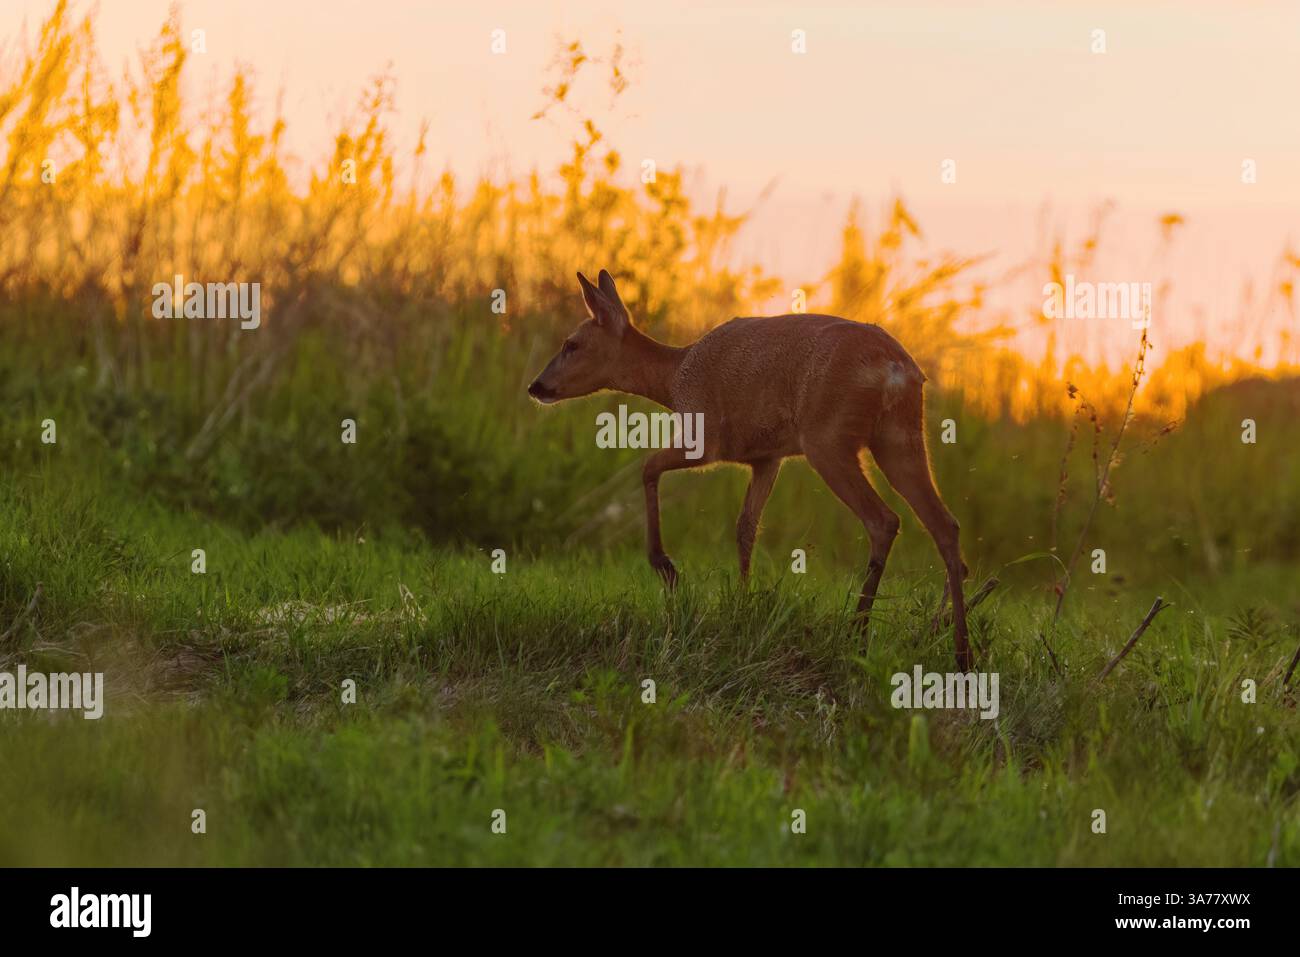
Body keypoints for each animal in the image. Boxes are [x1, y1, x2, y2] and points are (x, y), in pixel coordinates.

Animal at [528, 270, 973, 671]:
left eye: (571, 343)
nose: (536, 386)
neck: (675, 378)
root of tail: (897, 369)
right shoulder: (766, 458)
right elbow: (745, 527)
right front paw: (742, 606)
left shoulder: (705, 437)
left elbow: (647, 467)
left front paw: (667, 568)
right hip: (899, 437)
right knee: (945, 525)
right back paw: (959, 650)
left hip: (828, 440)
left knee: (884, 520)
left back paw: (858, 634)